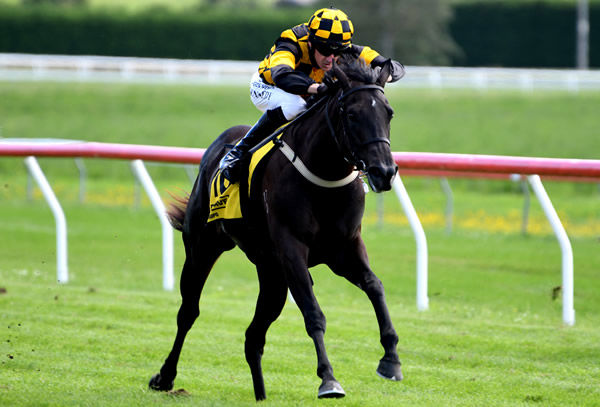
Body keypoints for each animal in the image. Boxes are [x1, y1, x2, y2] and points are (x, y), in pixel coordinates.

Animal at [149, 55, 404, 402]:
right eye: (352, 114)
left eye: (388, 112)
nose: (384, 172)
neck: (325, 176)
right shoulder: (292, 249)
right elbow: (313, 312)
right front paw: (328, 379)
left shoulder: (345, 248)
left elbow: (375, 286)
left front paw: (391, 359)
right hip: (203, 247)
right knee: (188, 311)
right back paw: (165, 377)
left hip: (271, 272)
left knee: (253, 336)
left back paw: (260, 394)